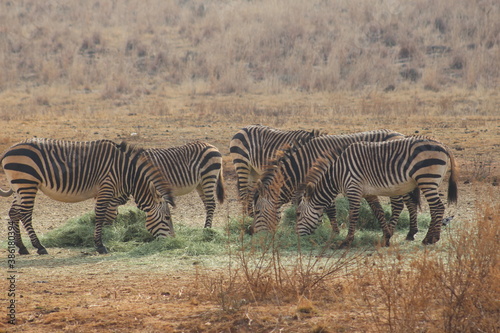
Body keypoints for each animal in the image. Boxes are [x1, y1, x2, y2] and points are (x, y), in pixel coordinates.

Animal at [0, 137, 176, 254]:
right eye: (167, 218)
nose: (173, 241)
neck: (126, 173)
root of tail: (8, 150)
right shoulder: (106, 187)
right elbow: (100, 215)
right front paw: (100, 245)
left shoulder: (109, 194)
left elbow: (108, 216)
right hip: (27, 183)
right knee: (25, 214)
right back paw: (39, 247)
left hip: (19, 186)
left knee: (14, 213)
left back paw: (22, 247)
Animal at [250, 128, 418, 237]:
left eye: (257, 211)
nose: (254, 234)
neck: (304, 163)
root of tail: (401, 135)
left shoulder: (324, 180)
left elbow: (329, 209)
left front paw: (334, 232)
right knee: (411, 203)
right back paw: (411, 232)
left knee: (399, 205)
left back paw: (393, 231)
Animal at [296, 135, 458, 246]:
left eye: (298, 214)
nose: (297, 235)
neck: (337, 174)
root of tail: (442, 145)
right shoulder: (369, 193)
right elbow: (378, 211)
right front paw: (386, 237)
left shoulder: (353, 189)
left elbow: (353, 215)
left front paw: (346, 241)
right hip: (429, 181)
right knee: (434, 207)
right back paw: (427, 237)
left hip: (427, 179)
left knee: (438, 207)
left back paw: (430, 238)